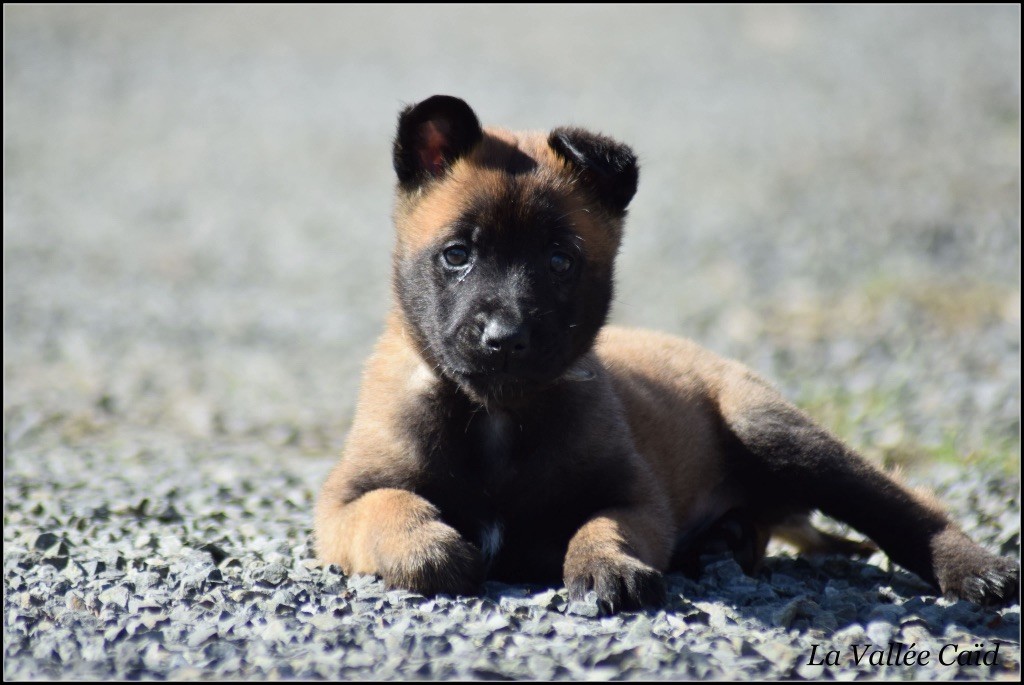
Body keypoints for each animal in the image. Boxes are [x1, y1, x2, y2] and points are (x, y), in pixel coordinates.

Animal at [315, 93, 1019, 610]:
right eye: (457, 254)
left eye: (560, 259)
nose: (504, 338)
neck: (498, 415)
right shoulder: (341, 502)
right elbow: (389, 506)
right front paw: (427, 547)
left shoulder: (636, 497)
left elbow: (603, 525)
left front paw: (608, 564)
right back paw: (723, 541)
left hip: (774, 432)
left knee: (902, 507)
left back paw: (974, 570)